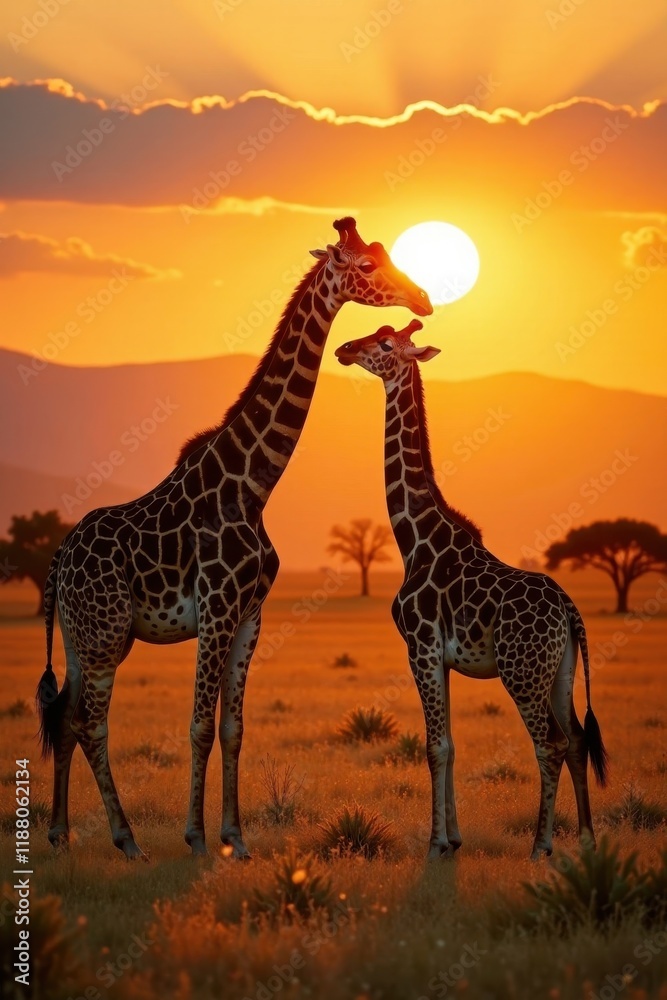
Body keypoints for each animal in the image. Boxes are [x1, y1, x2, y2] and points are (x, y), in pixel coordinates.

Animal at [36, 219, 433, 861]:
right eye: (368, 265)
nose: (423, 298)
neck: (253, 483)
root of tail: (57, 563)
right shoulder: (217, 609)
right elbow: (199, 724)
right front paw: (196, 837)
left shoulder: (250, 615)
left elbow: (233, 727)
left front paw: (236, 839)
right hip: (103, 636)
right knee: (91, 722)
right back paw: (126, 840)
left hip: (82, 636)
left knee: (67, 715)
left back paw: (59, 834)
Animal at [335, 319, 608, 860]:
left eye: (384, 344)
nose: (345, 348)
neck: (414, 538)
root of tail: (570, 611)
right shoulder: (442, 657)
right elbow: (452, 743)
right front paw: (455, 837)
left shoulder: (420, 646)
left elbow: (434, 744)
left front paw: (436, 842)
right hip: (562, 670)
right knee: (576, 738)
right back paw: (586, 841)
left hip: (523, 672)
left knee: (549, 742)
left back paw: (541, 845)